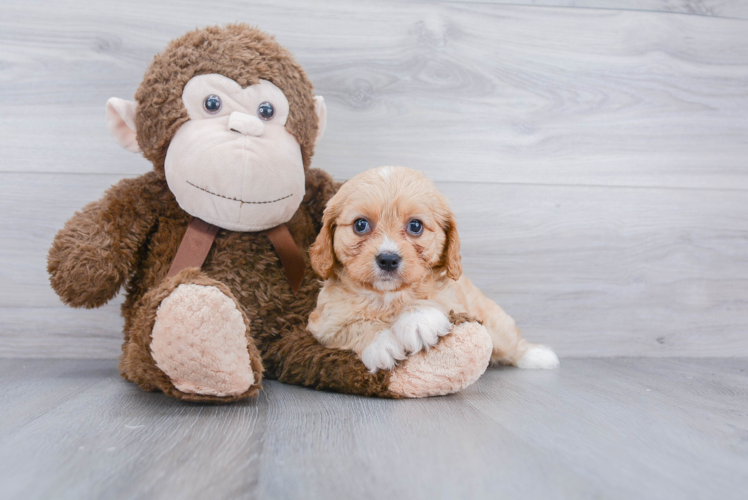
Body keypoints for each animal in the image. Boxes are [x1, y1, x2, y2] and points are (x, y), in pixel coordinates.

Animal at [306, 166, 560, 374]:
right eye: (360, 225)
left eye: (415, 226)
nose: (388, 259)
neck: (388, 296)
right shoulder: (325, 323)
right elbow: (354, 326)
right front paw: (381, 343)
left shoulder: (453, 299)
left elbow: (432, 298)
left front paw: (418, 320)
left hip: (494, 323)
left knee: (510, 342)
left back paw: (538, 356)